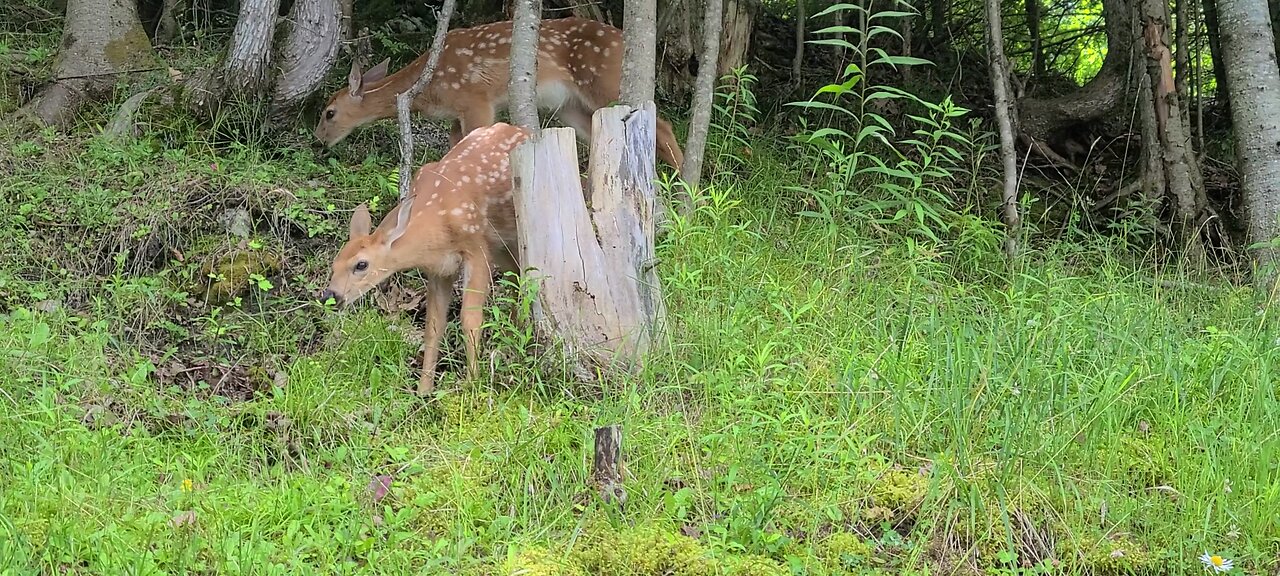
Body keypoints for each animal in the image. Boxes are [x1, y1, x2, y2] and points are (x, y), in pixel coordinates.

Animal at [311, 16, 686, 171]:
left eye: (329, 112)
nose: (318, 140)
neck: (427, 89)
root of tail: (625, 39)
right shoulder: (456, 115)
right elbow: (456, 147)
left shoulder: (475, 98)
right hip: (569, 105)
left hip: (604, 82)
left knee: (662, 125)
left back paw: (687, 188)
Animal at [320, 122, 529, 396]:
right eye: (333, 265)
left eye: (361, 264)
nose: (330, 296)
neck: (437, 222)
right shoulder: (440, 268)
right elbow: (433, 326)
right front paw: (423, 391)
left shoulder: (477, 247)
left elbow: (470, 319)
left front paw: (473, 383)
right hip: (503, 248)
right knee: (517, 276)